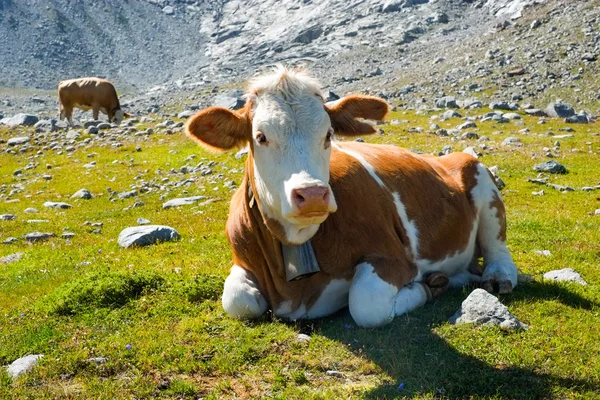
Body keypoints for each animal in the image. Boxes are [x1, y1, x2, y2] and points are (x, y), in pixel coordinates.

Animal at [185, 66, 516, 328]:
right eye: (261, 137)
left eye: (328, 134)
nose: (312, 194)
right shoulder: (241, 259)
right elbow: (238, 300)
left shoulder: (393, 258)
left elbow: (366, 304)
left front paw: (426, 287)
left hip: (479, 177)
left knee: (498, 249)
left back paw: (495, 277)